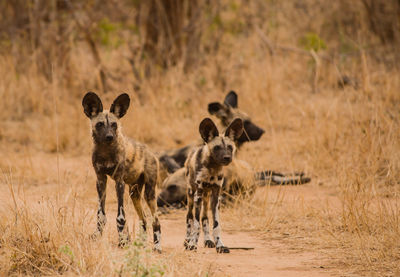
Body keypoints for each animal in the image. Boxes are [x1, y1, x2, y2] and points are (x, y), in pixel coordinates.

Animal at [81, 92, 161, 250]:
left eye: (114, 124)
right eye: (100, 124)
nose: (109, 136)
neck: (105, 151)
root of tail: (151, 152)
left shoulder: (119, 182)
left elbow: (120, 217)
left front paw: (123, 241)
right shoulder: (101, 180)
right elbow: (101, 214)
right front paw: (97, 235)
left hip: (149, 194)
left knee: (156, 220)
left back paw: (157, 247)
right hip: (134, 194)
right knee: (144, 219)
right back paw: (141, 245)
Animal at [185, 116, 244, 252]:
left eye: (230, 147)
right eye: (217, 147)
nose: (227, 157)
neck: (212, 169)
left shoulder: (216, 196)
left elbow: (216, 225)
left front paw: (220, 245)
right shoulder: (198, 195)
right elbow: (196, 224)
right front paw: (192, 244)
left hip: (206, 197)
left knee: (205, 218)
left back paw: (208, 240)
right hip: (192, 196)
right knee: (190, 218)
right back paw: (187, 241)